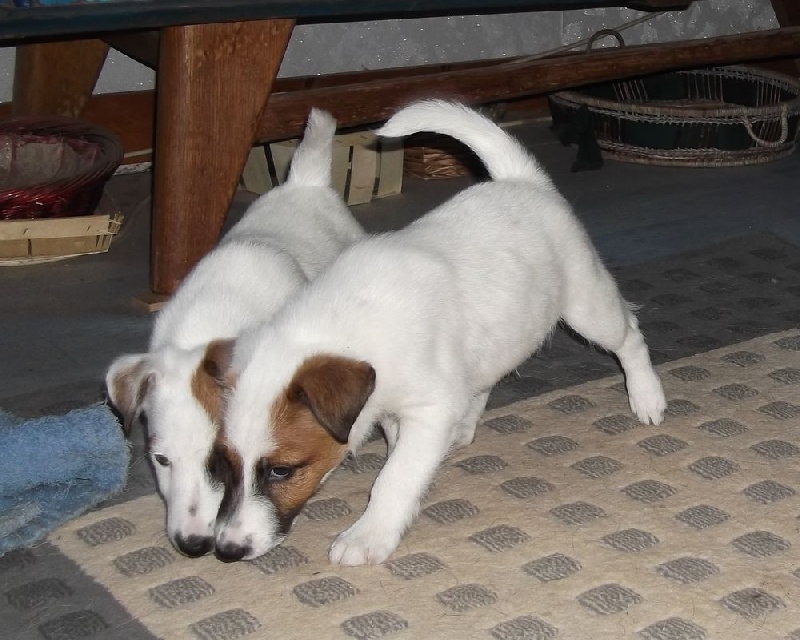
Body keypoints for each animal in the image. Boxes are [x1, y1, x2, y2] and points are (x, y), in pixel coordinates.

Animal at [209, 99, 666, 566]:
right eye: (224, 464)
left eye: (282, 470)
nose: (226, 550)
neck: (346, 328)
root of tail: (522, 180)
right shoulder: (397, 409)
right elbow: (398, 454)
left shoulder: (429, 409)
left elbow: (395, 476)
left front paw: (368, 535)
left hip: (586, 305)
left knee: (630, 334)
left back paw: (647, 397)